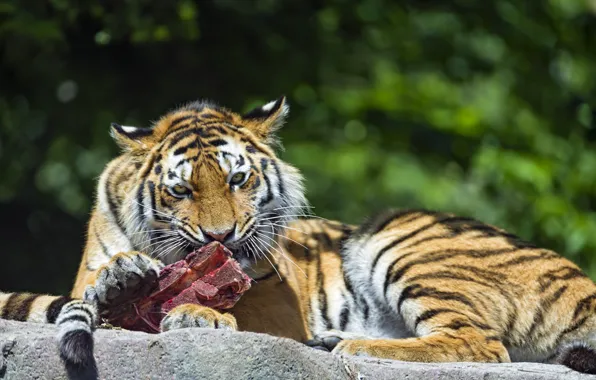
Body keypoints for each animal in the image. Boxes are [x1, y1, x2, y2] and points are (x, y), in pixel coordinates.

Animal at [3, 95, 596, 374]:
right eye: (182, 189)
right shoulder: (82, 276)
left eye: (237, 179)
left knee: (480, 343)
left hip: (401, 238)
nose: (221, 236)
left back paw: (354, 345)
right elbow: (96, 285)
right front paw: (122, 279)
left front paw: (197, 313)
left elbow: (241, 310)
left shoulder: (276, 299)